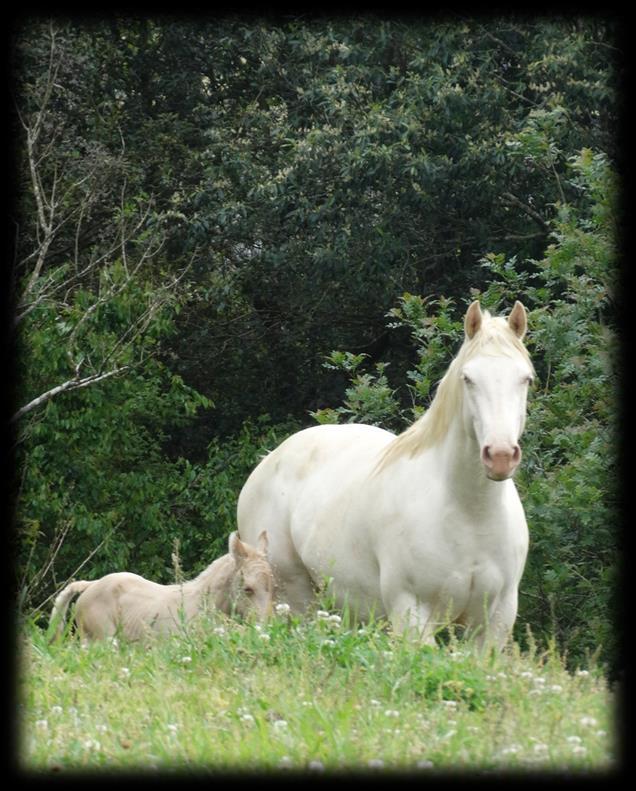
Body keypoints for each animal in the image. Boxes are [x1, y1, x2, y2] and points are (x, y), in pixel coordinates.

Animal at [236, 300, 536, 648]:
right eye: (468, 378)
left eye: (525, 379)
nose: (500, 456)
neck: (469, 514)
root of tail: (268, 461)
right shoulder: (412, 614)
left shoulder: (494, 621)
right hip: (296, 600)